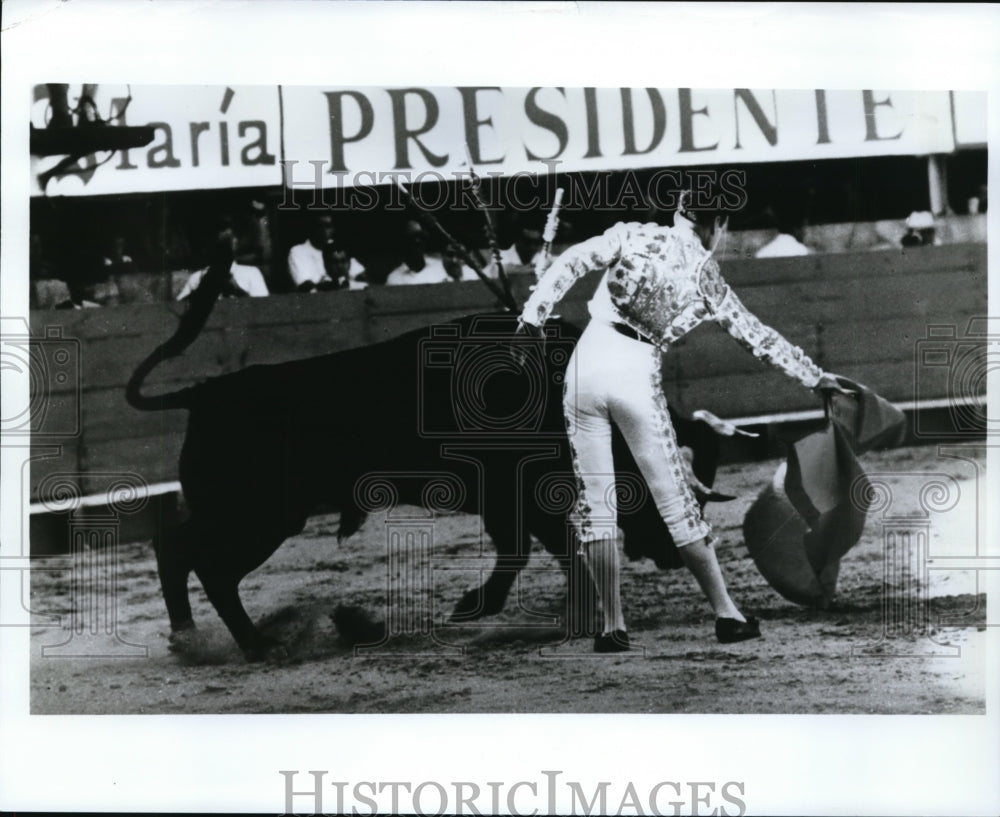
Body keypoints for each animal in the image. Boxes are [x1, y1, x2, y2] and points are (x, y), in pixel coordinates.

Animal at [127, 302, 720, 660]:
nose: (674, 553)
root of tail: (202, 393)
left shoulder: (522, 500)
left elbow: (548, 550)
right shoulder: (515, 496)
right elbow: (529, 550)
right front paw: (480, 606)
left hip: (248, 516)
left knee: (175, 548)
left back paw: (190, 637)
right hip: (258, 517)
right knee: (204, 564)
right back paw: (253, 645)